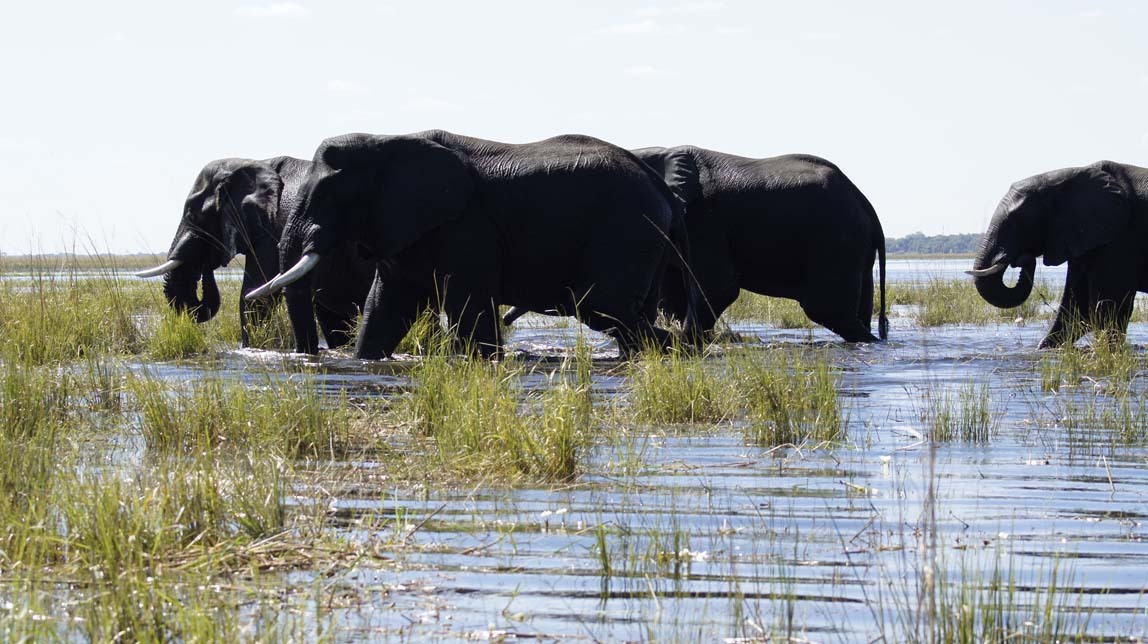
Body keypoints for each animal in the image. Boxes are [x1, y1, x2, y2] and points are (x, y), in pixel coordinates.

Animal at [244, 127, 688, 358]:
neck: (388, 141)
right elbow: (384, 308)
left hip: (626, 230)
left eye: (328, 195)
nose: (311, 355)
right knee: (626, 316)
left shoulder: (467, 225)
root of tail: (659, 187)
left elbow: (469, 309)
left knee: (604, 308)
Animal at [502, 145, 886, 342]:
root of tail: (865, 201)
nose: (506, 322)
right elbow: (673, 295)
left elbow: (716, 285)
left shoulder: (704, 220)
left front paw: (691, 343)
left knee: (827, 309)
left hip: (835, 239)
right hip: (853, 245)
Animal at [968, 160, 1148, 348]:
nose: (1021, 258)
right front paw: (1045, 349)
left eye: (1016, 220)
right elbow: (1077, 306)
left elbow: (1110, 305)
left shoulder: (1123, 236)